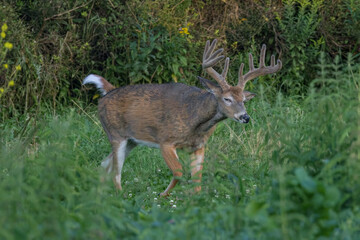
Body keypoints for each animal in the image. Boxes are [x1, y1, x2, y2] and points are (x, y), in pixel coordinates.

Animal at [82, 39, 282, 196]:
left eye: (244, 100)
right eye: (227, 99)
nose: (245, 117)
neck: (196, 124)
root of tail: (107, 93)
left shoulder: (199, 146)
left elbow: (197, 178)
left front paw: (196, 201)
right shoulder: (165, 140)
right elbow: (179, 172)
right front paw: (163, 195)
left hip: (132, 141)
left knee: (104, 164)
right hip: (115, 134)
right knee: (116, 171)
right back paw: (121, 197)